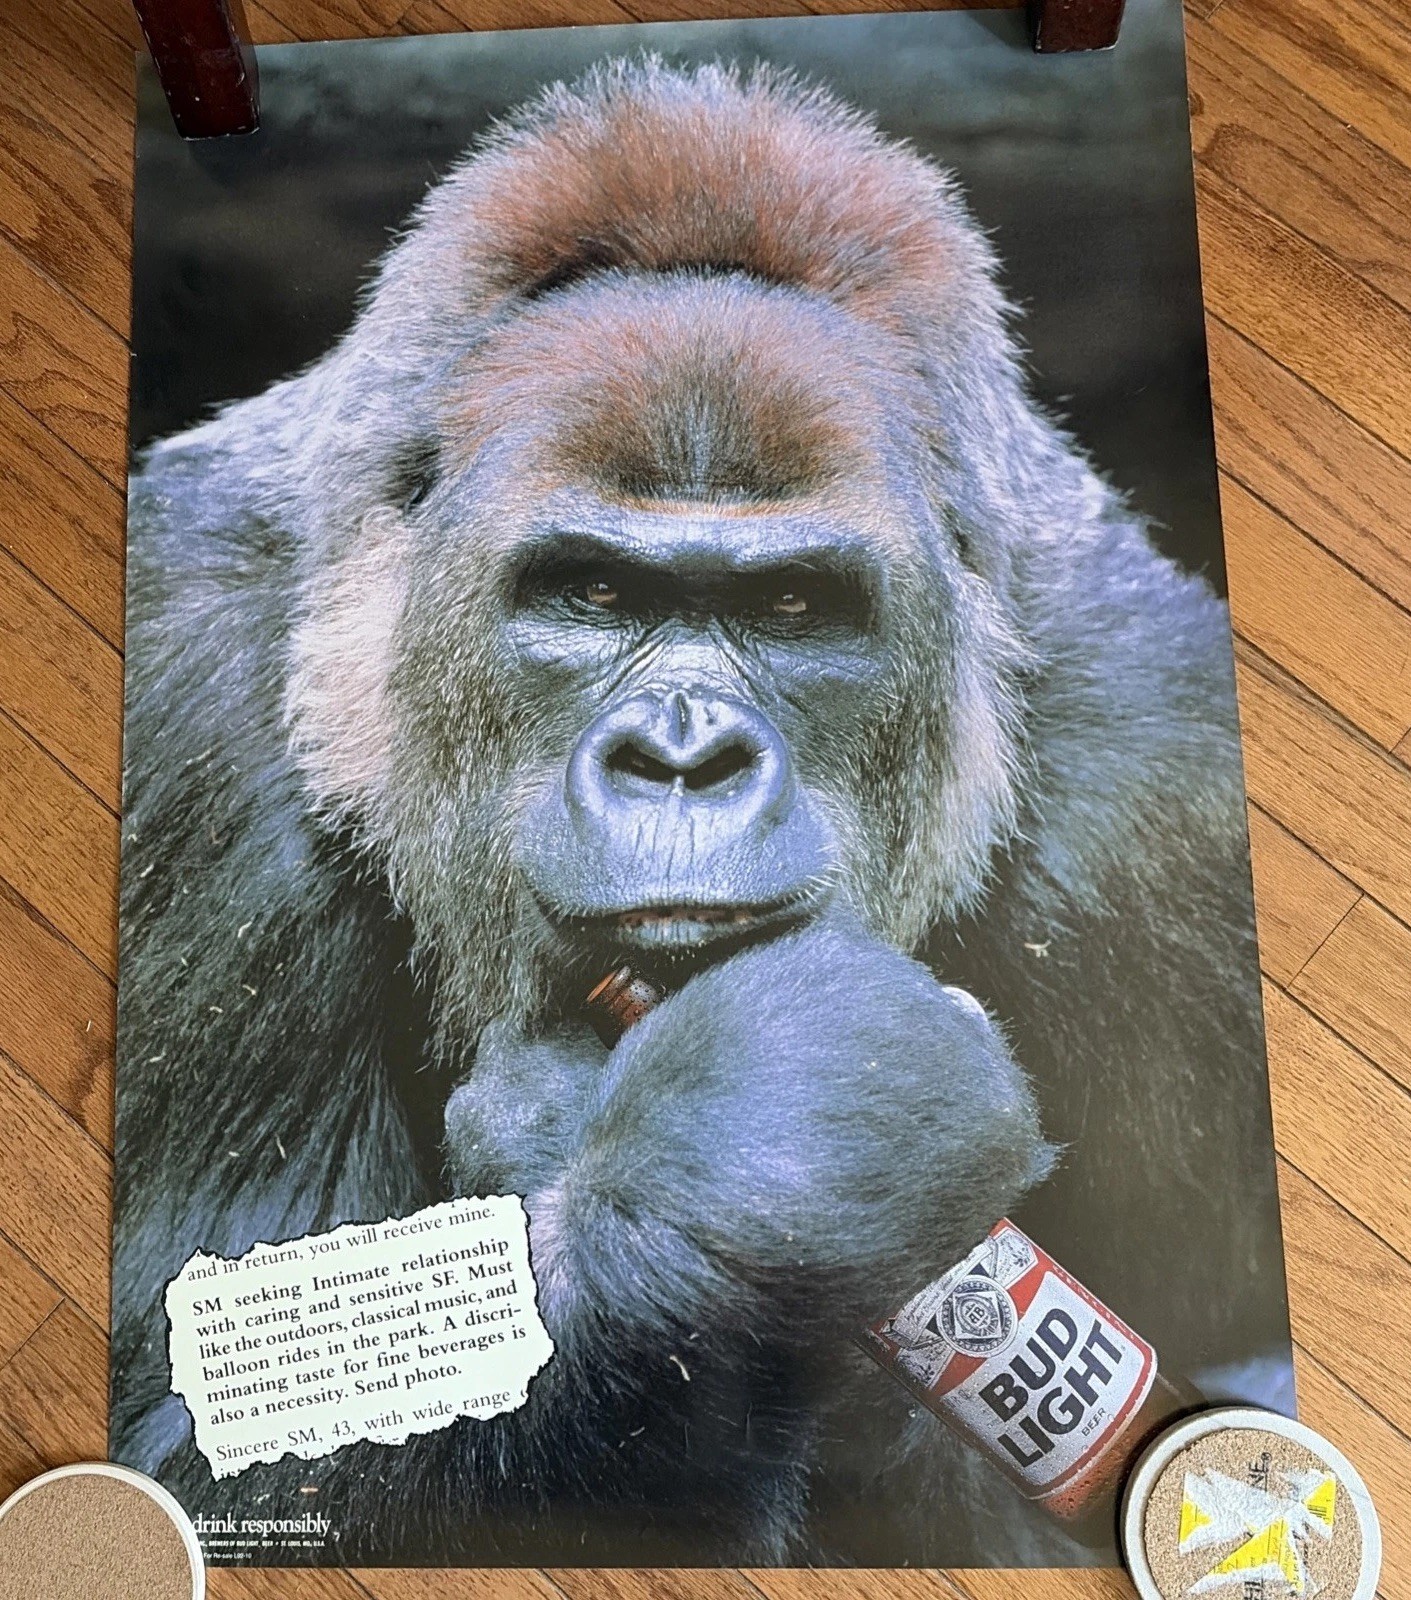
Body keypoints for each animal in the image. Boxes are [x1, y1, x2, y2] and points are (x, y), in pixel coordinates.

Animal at [112, 58, 1289, 1566]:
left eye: (791, 606)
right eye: (591, 593)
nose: (683, 757)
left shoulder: (1175, 788)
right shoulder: (181, 727)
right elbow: (216, 1442)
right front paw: (759, 1147)